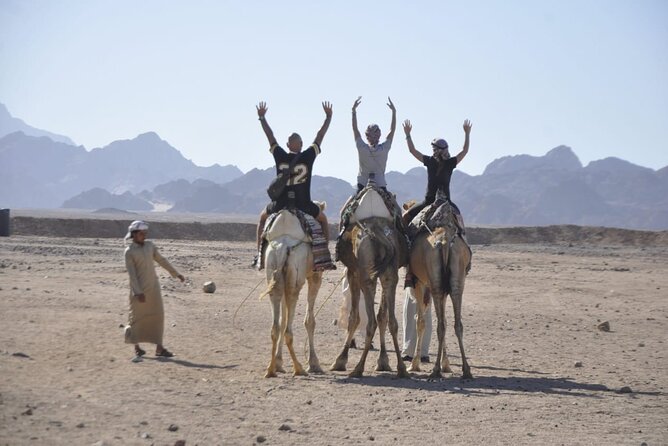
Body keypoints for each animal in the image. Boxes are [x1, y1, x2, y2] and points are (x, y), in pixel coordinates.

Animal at [260, 208, 324, 378]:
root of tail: (283, 245)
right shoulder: (315, 276)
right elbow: (310, 321)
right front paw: (314, 363)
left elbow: (282, 320)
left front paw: (279, 362)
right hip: (295, 280)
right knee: (288, 328)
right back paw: (299, 368)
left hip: (273, 272)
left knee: (276, 326)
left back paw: (271, 369)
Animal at [331, 186, 409, 378]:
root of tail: (379, 234)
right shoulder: (385, 274)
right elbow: (383, 316)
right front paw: (383, 361)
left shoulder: (353, 273)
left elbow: (354, 317)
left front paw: (340, 360)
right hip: (389, 275)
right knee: (392, 321)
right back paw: (402, 368)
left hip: (366, 277)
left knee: (371, 321)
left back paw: (358, 368)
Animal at [407, 198, 472, 379]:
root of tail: (445, 240)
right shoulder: (443, 288)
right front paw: (447, 365)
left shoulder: (419, 283)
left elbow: (420, 321)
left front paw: (414, 364)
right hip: (456, 279)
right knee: (456, 323)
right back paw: (466, 370)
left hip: (434, 284)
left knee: (440, 325)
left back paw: (435, 370)